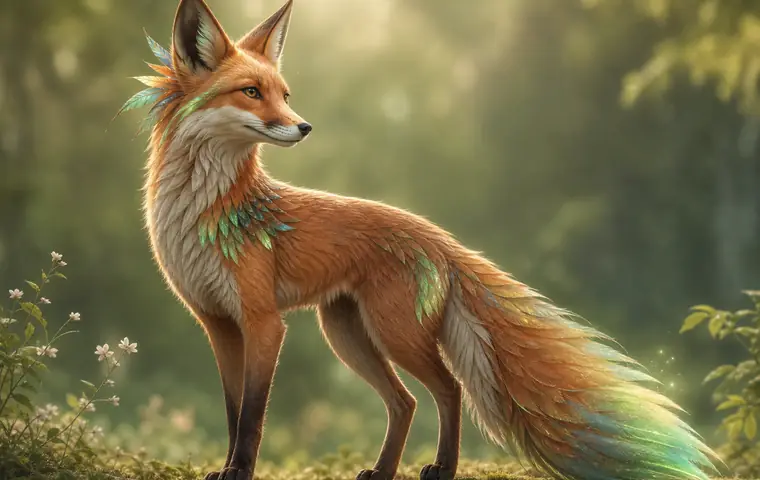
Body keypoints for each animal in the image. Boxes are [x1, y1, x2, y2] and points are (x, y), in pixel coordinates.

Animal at [118, 0, 722, 479]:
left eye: (284, 94)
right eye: (251, 92)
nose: (305, 126)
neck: (206, 216)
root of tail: (439, 236)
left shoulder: (265, 322)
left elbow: (252, 418)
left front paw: (239, 472)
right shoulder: (219, 323)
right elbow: (232, 411)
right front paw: (226, 468)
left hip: (392, 333)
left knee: (448, 389)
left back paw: (444, 468)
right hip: (348, 334)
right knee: (405, 402)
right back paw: (385, 471)